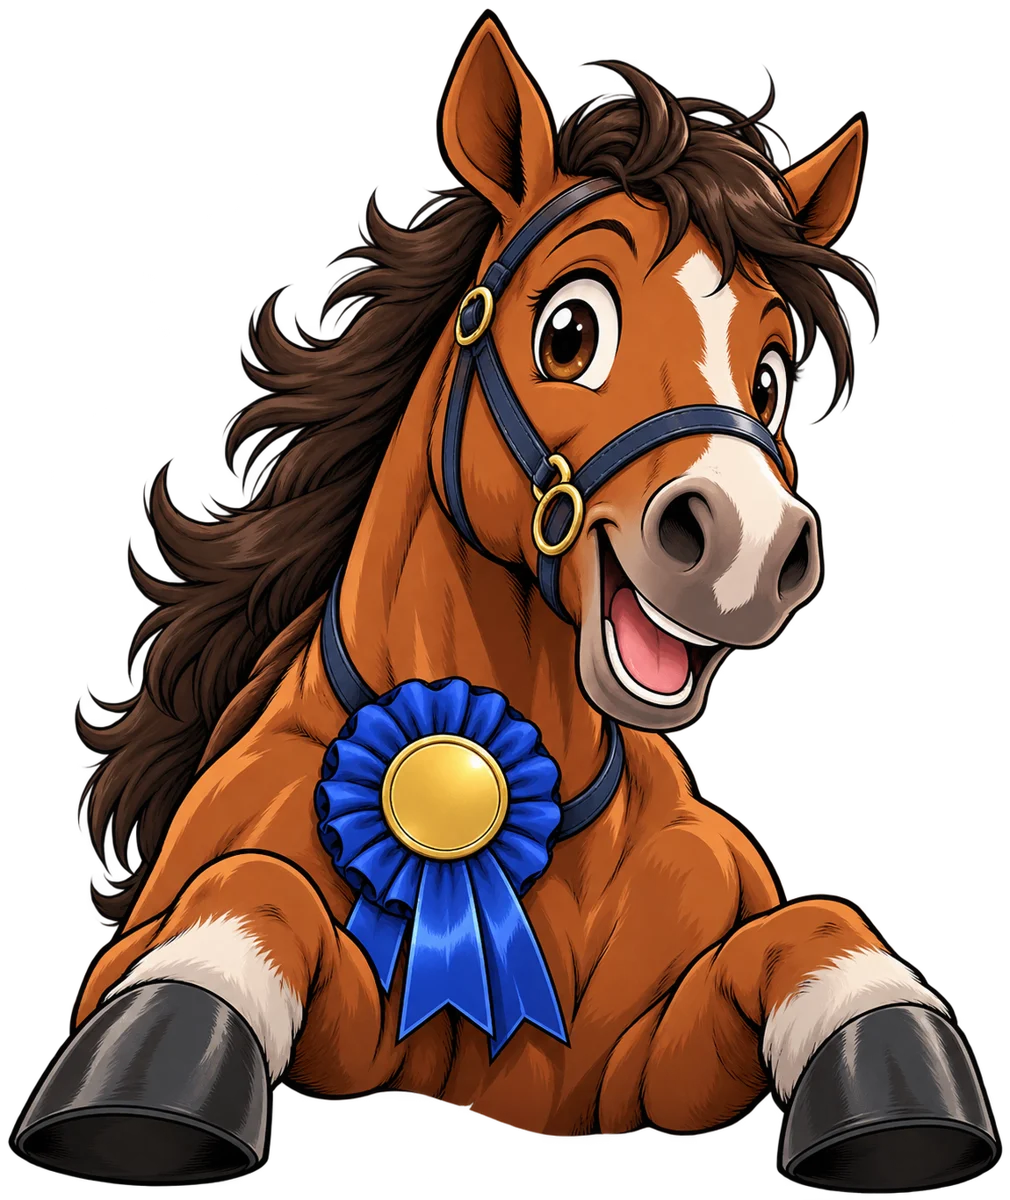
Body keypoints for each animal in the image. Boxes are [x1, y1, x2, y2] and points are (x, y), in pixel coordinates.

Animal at [11, 12, 999, 1191]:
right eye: (570, 329)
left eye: (768, 376)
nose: (749, 545)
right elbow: (250, 895)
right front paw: (150, 1069)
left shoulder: (625, 1074)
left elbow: (810, 930)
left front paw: (895, 1075)